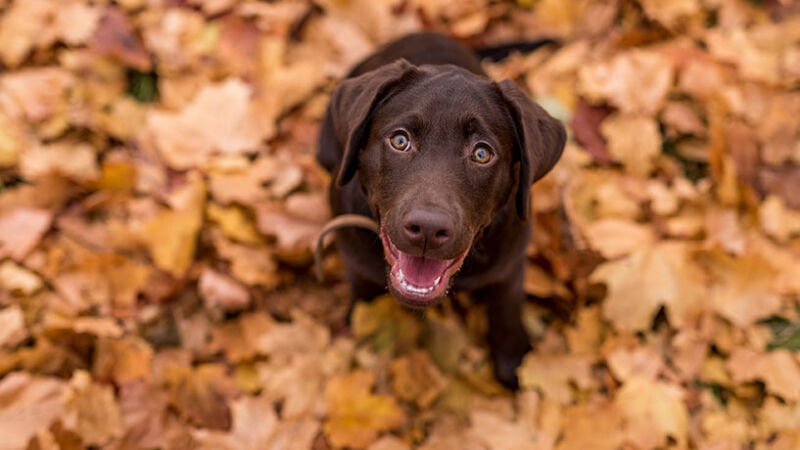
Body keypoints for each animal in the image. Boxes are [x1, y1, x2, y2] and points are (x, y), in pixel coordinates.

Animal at [316, 33, 564, 388]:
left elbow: (506, 309)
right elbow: (364, 297)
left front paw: (514, 363)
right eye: (400, 141)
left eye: (481, 154)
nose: (428, 230)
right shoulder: (356, 258)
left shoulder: (510, 263)